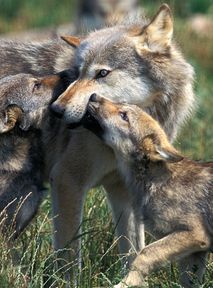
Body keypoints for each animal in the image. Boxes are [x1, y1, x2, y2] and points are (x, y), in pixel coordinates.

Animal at [84, 94, 212, 288]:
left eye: (124, 116)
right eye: (122, 105)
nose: (93, 95)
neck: (154, 182)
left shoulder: (195, 234)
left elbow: (145, 254)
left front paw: (126, 283)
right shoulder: (194, 254)